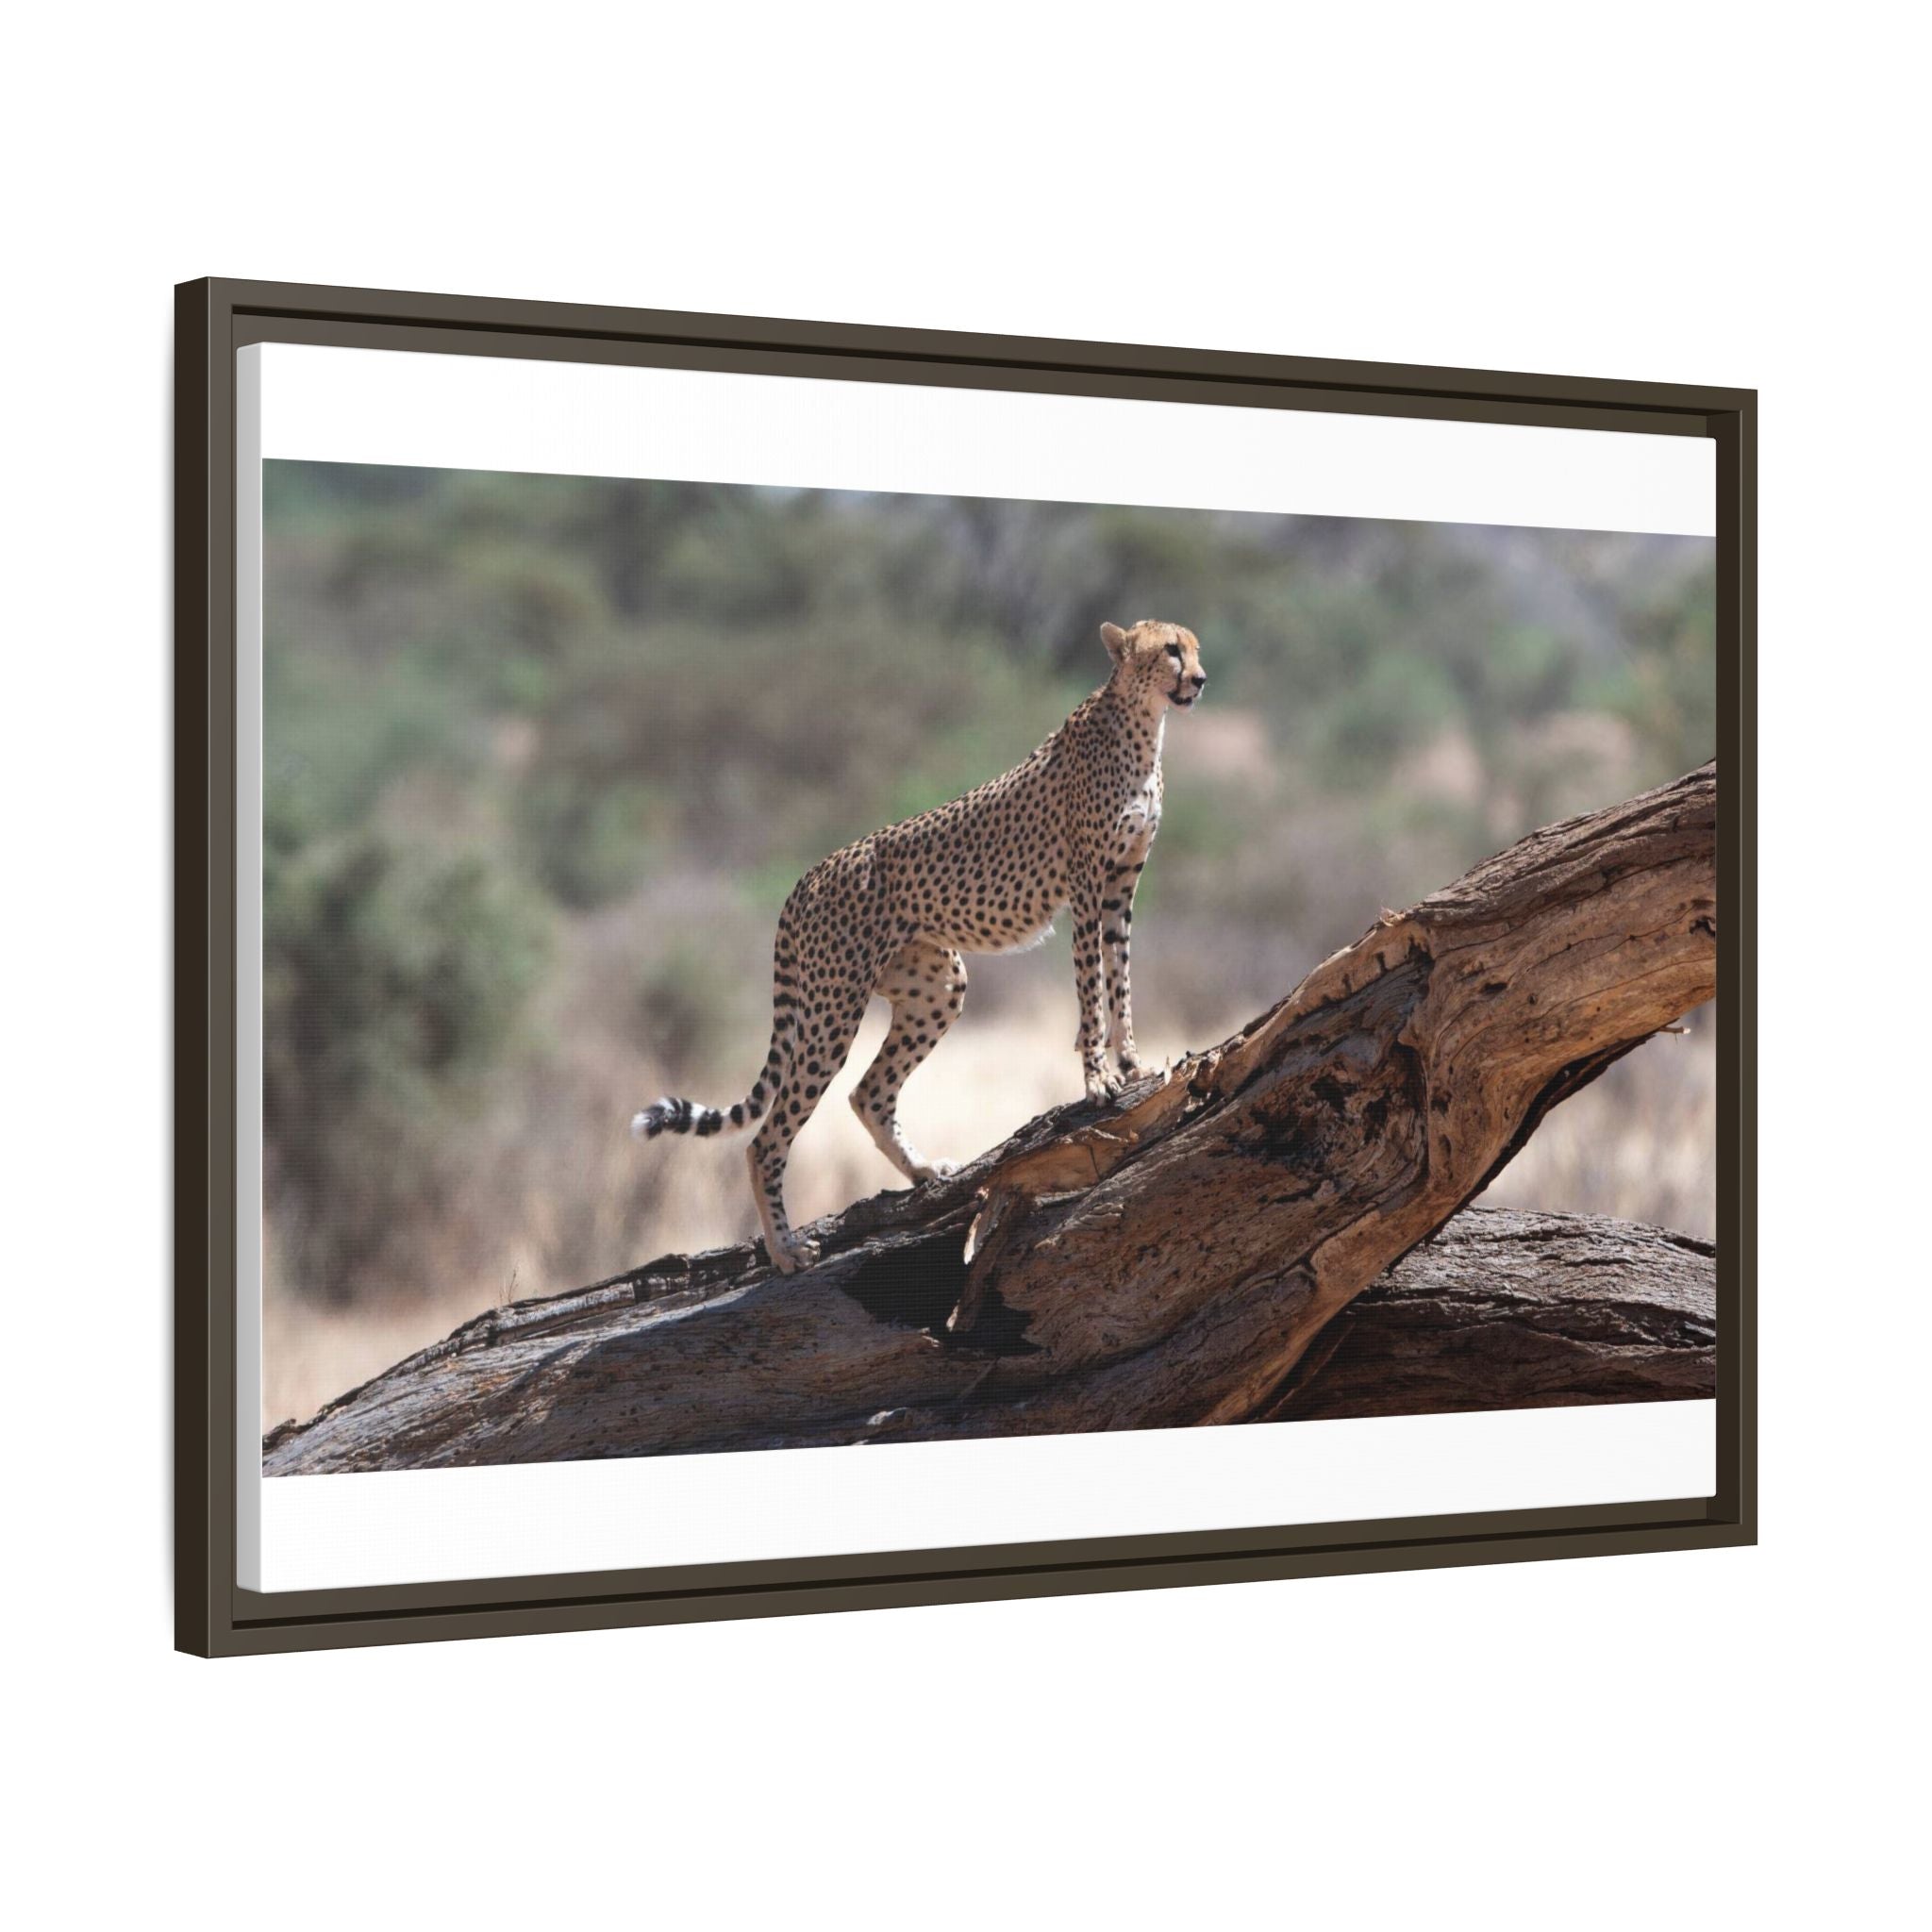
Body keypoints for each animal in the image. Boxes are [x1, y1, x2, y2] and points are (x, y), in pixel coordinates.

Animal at [632, 619, 1207, 1273]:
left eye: (1194, 648)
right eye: (1170, 650)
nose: (1199, 679)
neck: (1143, 723)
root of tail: (809, 874)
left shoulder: (1120, 888)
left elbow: (1121, 979)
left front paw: (1133, 1063)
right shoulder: (1086, 886)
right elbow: (1092, 988)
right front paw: (1097, 1079)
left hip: (937, 986)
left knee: (868, 1093)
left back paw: (925, 1171)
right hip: (833, 1008)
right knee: (768, 1136)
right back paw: (785, 1249)